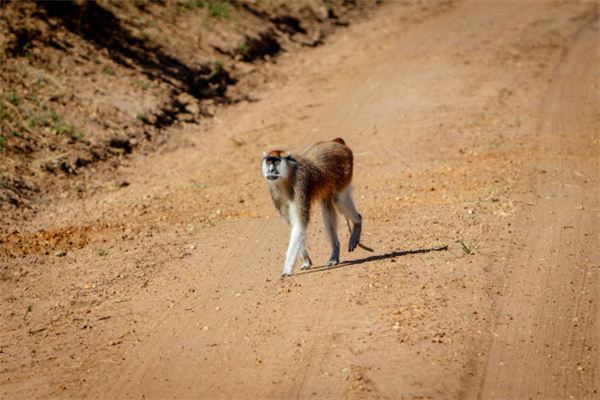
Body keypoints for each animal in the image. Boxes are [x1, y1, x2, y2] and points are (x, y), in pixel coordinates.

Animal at [262, 136, 364, 276]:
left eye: (276, 161)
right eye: (269, 161)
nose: (270, 170)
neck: (287, 176)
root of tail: (335, 142)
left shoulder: (301, 184)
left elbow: (300, 223)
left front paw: (287, 269)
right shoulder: (274, 191)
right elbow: (293, 224)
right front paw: (306, 261)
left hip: (345, 168)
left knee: (339, 199)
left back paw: (358, 222)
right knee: (327, 205)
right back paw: (335, 253)